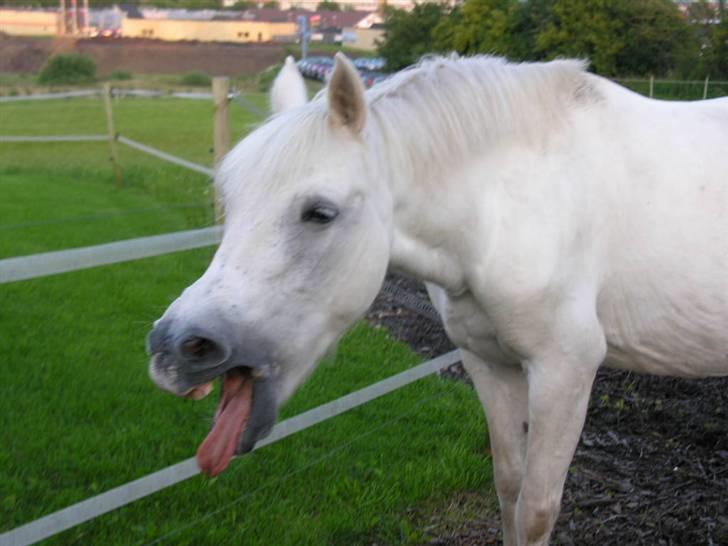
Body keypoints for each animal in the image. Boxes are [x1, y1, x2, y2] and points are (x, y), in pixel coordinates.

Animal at [148, 56, 728, 544]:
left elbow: (538, 508)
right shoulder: (490, 364)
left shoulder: (566, 370)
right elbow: (510, 488)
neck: (509, 204)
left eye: (320, 213)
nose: (176, 348)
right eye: (229, 201)